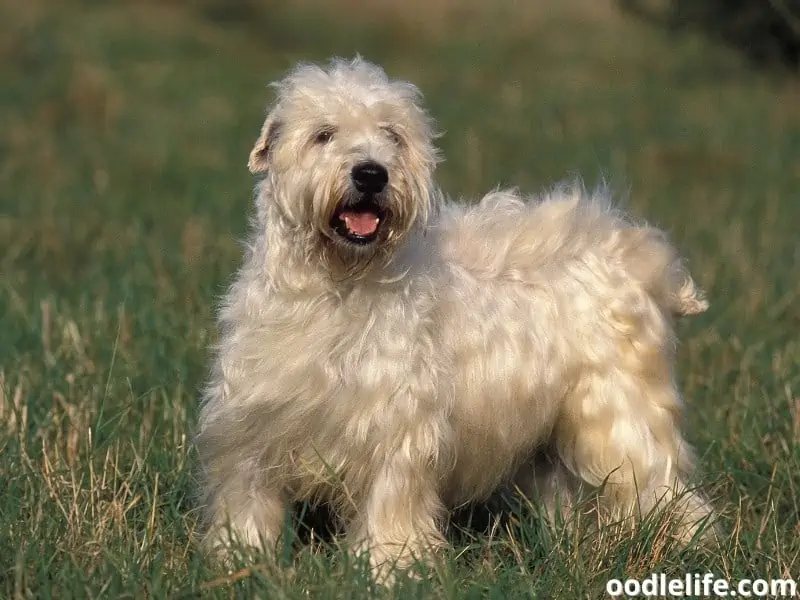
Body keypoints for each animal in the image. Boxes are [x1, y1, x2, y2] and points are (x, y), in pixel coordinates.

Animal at [197, 57, 716, 580]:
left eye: (392, 135)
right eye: (324, 134)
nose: (371, 174)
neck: (334, 289)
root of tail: (634, 252)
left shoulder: (397, 431)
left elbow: (390, 503)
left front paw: (391, 567)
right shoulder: (251, 428)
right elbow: (248, 501)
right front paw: (239, 560)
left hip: (619, 417)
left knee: (662, 489)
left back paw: (677, 547)